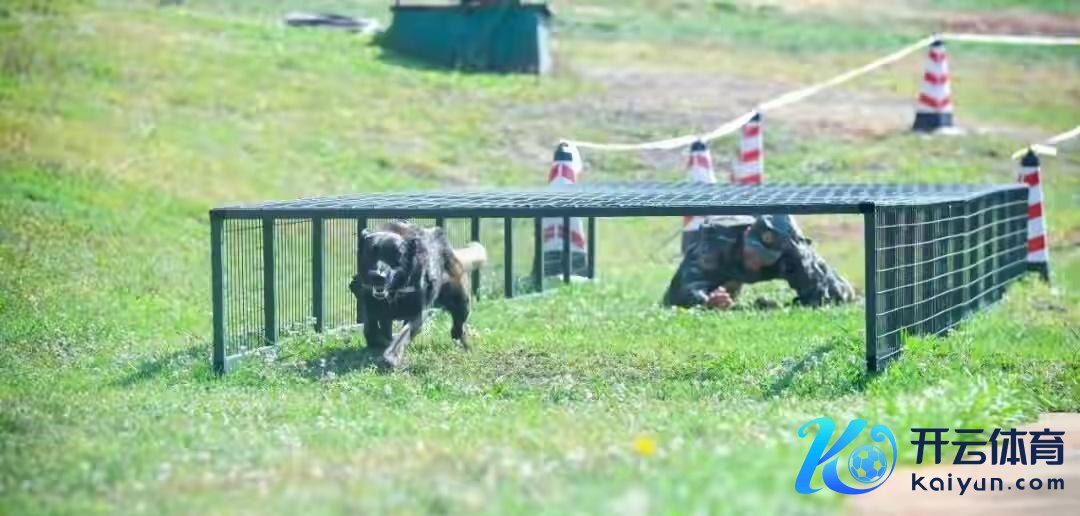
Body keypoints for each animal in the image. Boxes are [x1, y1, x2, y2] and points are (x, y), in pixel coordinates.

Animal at [349, 221, 486, 367]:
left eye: (396, 255)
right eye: (371, 252)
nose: (378, 276)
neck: (396, 290)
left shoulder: (416, 313)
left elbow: (404, 334)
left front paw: (392, 356)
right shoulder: (371, 305)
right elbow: (371, 329)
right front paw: (380, 343)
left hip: (461, 301)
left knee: (459, 325)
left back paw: (462, 343)